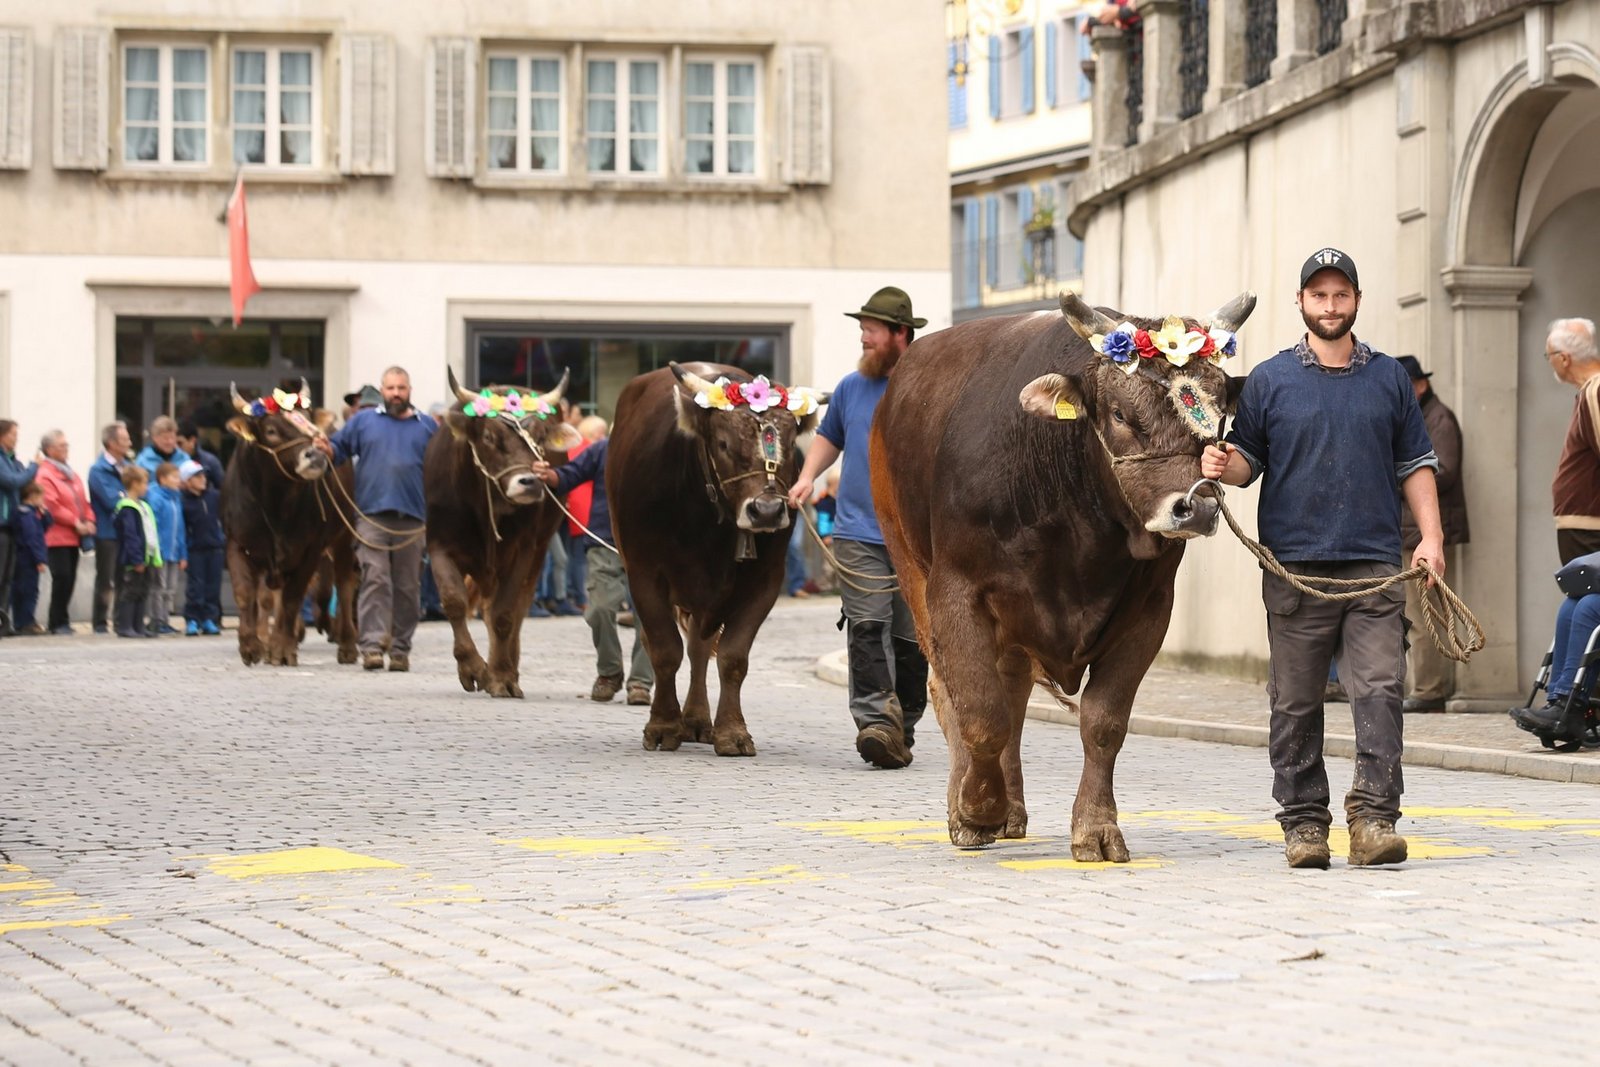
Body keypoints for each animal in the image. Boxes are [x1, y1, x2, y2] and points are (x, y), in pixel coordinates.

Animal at [222, 381, 358, 667]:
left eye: (306, 419)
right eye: (271, 430)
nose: (316, 455)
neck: (274, 505)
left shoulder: (310, 550)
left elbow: (293, 597)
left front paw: (281, 649)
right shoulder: (237, 544)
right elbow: (246, 593)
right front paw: (251, 646)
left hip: (343, 539)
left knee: (344, 584)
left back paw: (347, 645)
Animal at [424, 369, 582, 698]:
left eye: (540, 438)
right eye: (488, 436)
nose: (531, 482)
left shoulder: (523, 550)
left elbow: (504, 614)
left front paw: (500, 676)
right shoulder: (438, 545)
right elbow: (454, 602)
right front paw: (473, 668)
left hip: (540, 549)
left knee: (516, 609)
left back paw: (510, 669)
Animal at [607, 362, 827, 756]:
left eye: (790, 445)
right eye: (723, 444)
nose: (766, 511)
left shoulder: (765, 581)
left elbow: (732, 657)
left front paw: (732, 731)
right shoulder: (645, 573)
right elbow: (664, 649)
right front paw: (663, 726)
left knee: (699, 649)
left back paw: (696, 719)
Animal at [871, 291, 1256, 860]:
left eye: (1218, 417)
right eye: (1119, 413)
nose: (1197, 508)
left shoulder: (1149, 611)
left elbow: (1102, 723)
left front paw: (1095, 827)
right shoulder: (955, 590)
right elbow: (980, 712)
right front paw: (976, 809)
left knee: (1013, 692)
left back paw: (1011, 808)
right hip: (910, 566)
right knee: (952, 692)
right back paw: (972, 805)